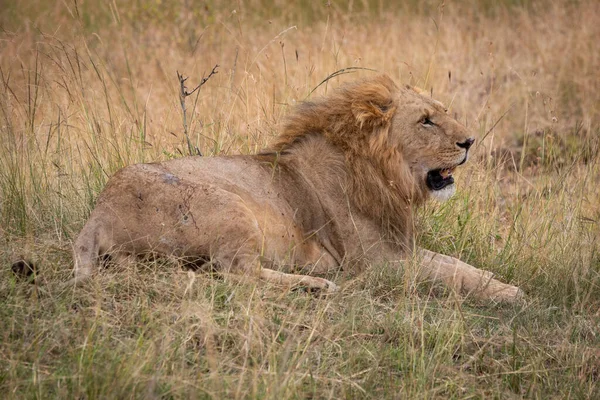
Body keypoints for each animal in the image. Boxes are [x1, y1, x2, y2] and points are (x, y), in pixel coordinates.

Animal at [68, 73, 524, 302]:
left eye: (444, 112)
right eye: (426, 121)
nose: (470, 142)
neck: (381, 171)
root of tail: (97, 213)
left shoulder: (399, 246)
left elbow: (455, 264)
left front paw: (494, 278)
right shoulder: (375, 262)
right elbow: (448, 274)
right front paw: (509, 292)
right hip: (230, 206)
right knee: (236, 274)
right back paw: (316, 285)